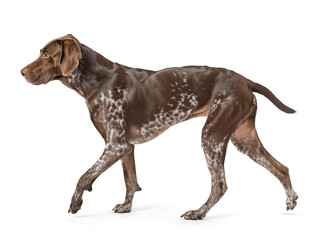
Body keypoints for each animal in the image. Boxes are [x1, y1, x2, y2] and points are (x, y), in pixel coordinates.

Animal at [20, 33, 298, 219]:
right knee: (281, 168)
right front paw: (126, 207)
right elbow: (130, 181)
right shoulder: (125, 148)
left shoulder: (115, 146)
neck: (97, 79)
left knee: (220, 185)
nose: (21, 71)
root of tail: (246, 81)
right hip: (244, 139)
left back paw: (198, 213)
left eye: (46, 54)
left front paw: (76, 203)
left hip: (211, 137)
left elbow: (83, 176)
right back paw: (291, 200)